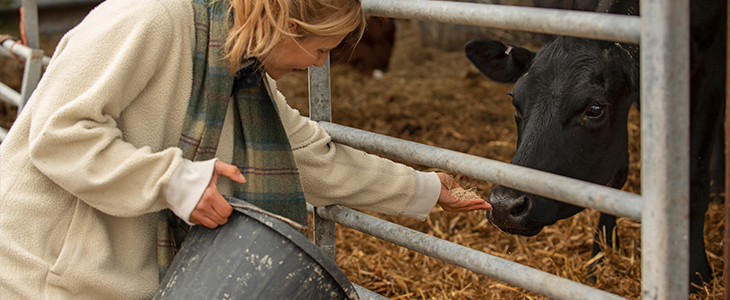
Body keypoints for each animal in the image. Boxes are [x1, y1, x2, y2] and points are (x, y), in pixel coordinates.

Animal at [464, 0, 724, 292]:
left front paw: (696, 272)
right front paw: (602, 252)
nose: (504, 205)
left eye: (595, 109)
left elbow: (695, 180)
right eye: (515, 102)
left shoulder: (709, 64)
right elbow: (616, 172)